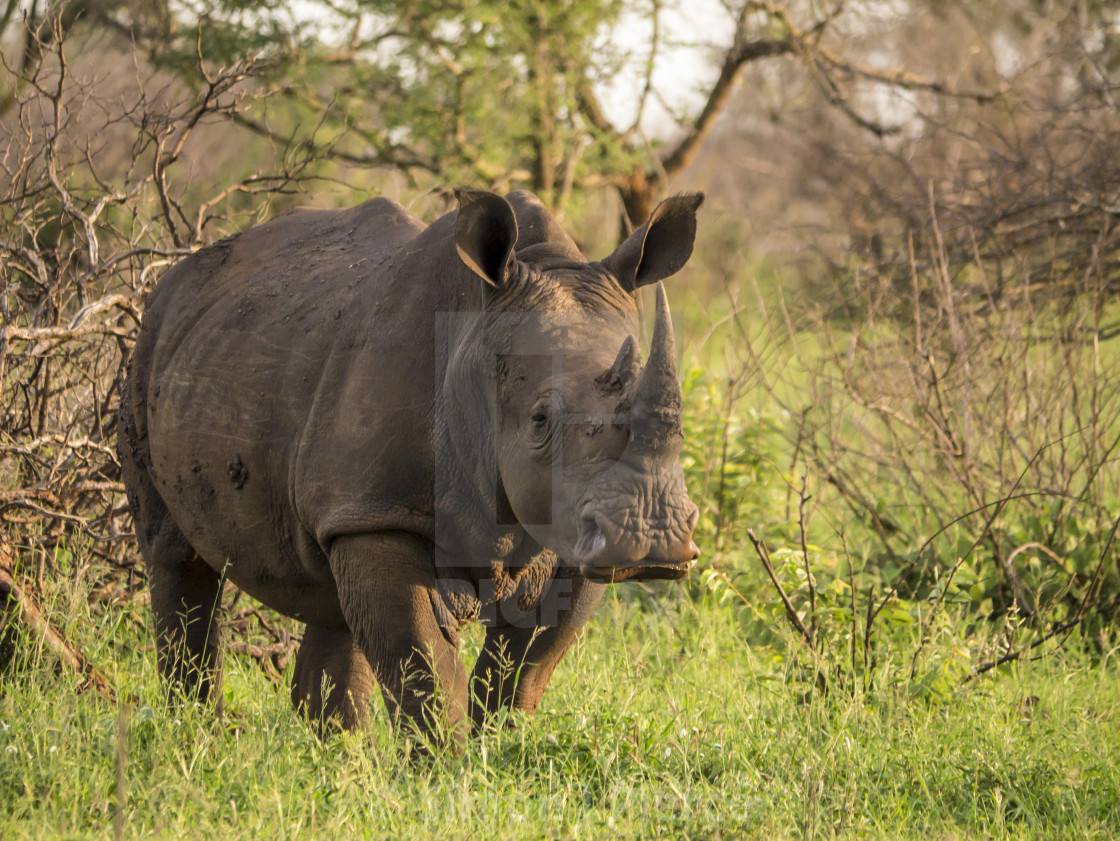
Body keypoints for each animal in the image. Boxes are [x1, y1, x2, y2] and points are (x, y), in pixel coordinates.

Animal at [118, 189, 703, 743]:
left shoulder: (571, 535)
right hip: (147, 353)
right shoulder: (382, 513)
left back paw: (340, 757)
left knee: (332, 590)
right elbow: (423, 664)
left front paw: (499, 754)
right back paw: (197, 735)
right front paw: (446, 768)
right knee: (176, 560)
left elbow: (525, 670)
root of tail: (176, 277)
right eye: (540, 420)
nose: (650, 535)